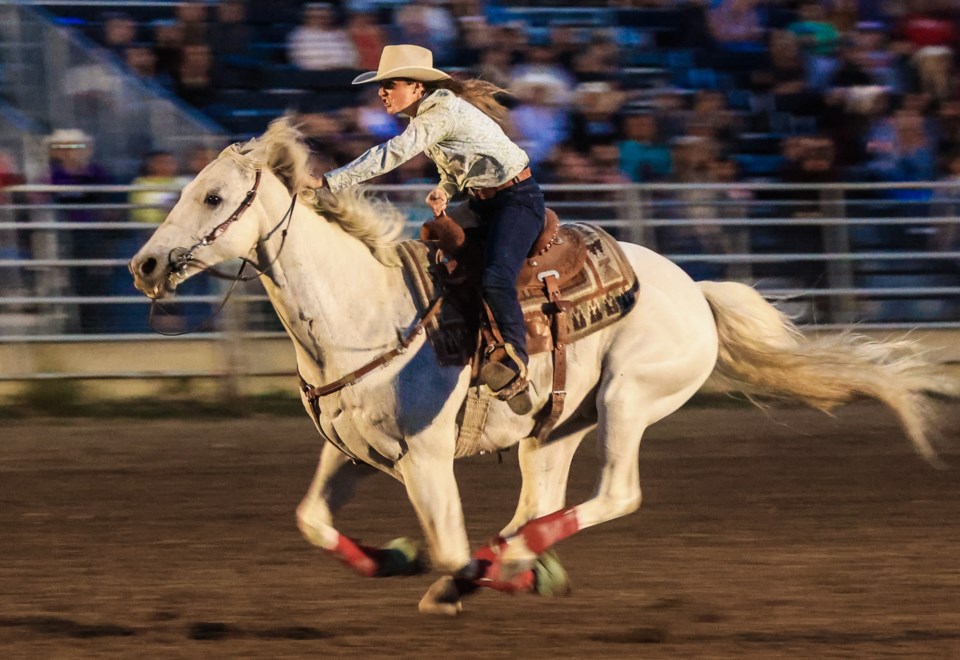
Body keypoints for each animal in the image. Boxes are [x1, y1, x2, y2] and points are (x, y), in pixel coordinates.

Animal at [131, 117, 956, 612]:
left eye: (214, 197)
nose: (144, 264)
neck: (365, 314)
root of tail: (694, 288)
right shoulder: (354, 452)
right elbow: (311, 519)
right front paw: (394, 559)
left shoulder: (425, 460)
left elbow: (447, 546)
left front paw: (452, 579)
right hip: (554, 428)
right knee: (541, 500)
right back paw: (522, 560)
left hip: (629, 399)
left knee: (614, 494)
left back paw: (514, 561)